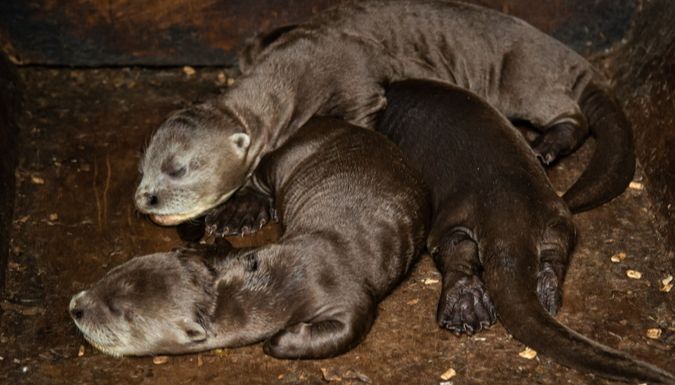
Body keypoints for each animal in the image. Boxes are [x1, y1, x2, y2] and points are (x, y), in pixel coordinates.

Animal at [70, 117, 428, 356]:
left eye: (120, 311)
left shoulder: (351, 299)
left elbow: (349, 328)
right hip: (285, 156)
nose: (76, 307)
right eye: (111, 274)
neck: (291, 276)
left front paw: (280, 340)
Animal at [136, 0, 632, 228]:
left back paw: (545, 148)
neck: (298, 63)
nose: (146, 199)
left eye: (178, 169)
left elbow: (359, 119)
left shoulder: (356, 85)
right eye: (144, 167)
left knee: (572, 117)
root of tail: (574, 59)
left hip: (523, 78)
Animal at [374, 79, 675, 382]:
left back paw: (465, 311)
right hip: (555, 214)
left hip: (455, 215)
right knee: (555, 250)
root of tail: (510, 219)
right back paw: (545, 292)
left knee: (457, 252)